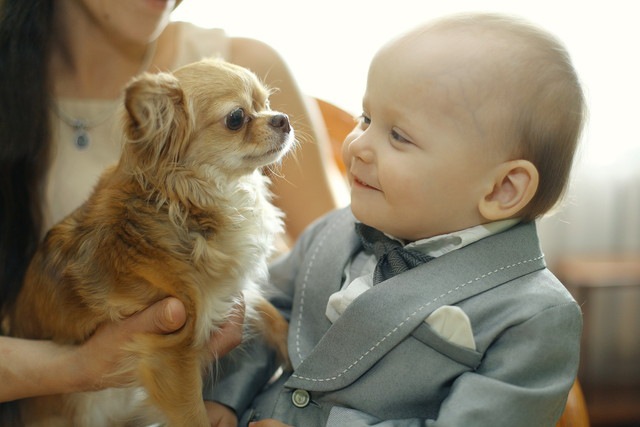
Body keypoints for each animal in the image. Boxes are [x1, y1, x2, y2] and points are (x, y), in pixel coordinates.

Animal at [6, 57, 292, 427]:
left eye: (267, 103)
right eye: (236, 117)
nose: (282, 118)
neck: (187, 205)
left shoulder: (228, 291)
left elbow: (274, 316)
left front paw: (296, 355)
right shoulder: (172, 354)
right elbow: (194, 416)